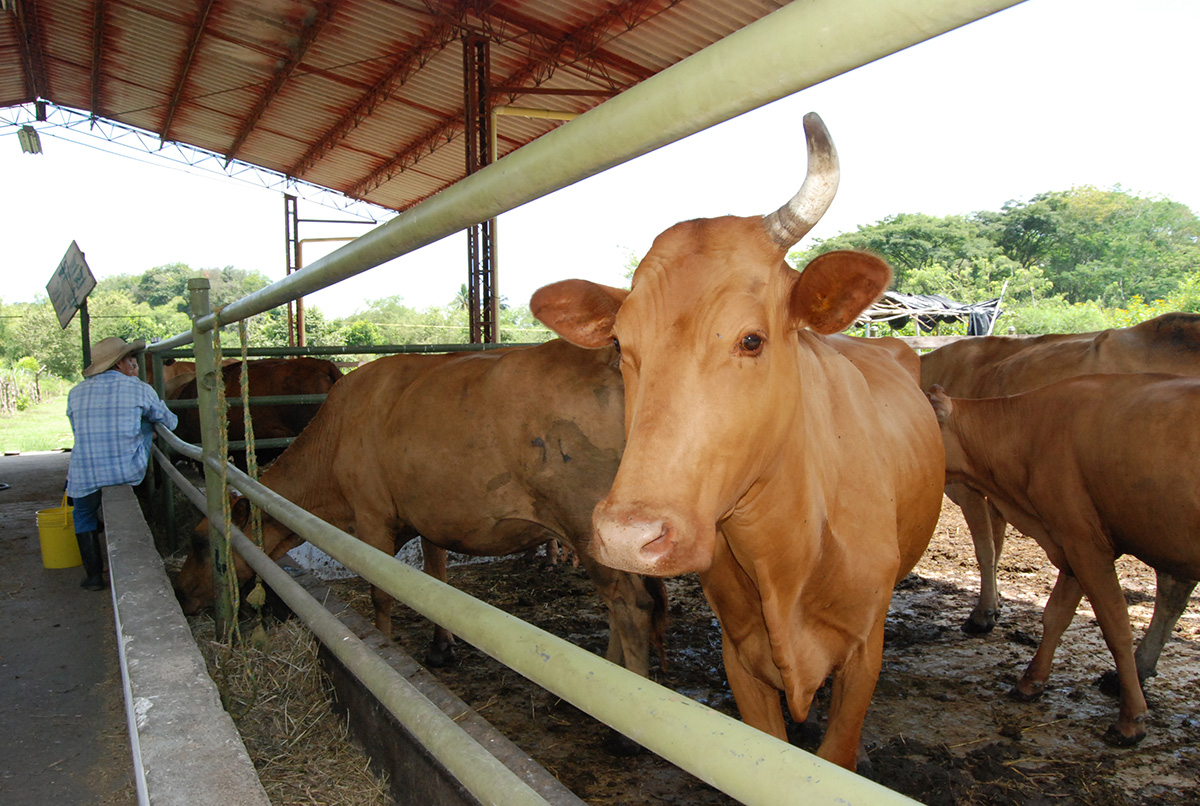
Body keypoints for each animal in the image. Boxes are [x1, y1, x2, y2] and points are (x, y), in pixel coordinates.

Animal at [175, 343, 672, 676]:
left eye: (199, 542)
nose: (182, 595)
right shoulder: (432, 516)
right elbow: (436, 581)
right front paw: (441, 647)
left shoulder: (372, 517)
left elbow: (382, 590)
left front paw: (387, 648)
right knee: (625, 604)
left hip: (586, 526)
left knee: (630, 605)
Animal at [535, 113, 945, 767]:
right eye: (621, 346)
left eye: (751, 340)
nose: (628, 536)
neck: (790, 552)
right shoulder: (740, 658)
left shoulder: (863, 655)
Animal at [916, 314, 1200, 686]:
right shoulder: (997, 489)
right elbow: (997, 544)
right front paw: (995, 606)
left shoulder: (969, 487)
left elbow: (985, 549)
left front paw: (983, 613)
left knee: (1171, 588)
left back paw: (1137, 665)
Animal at [931, 374, 1200, 748]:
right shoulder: (1069, 541)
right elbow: (1056, 614)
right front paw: (1031, 681)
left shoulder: (1085, 542)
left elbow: (1116, 629)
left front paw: (1130, 720)